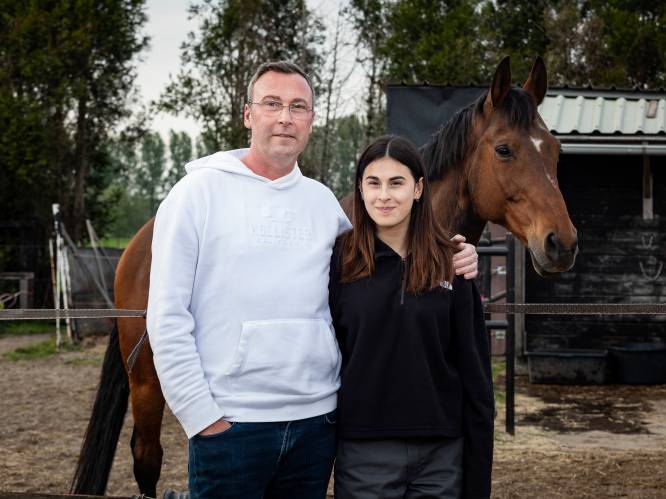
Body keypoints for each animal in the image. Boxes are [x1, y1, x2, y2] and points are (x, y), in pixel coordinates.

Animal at [68, 56, 576, 498]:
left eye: (555, 150)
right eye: (505, 149)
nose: (562, 243)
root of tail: (140, 241)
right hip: (148, 385)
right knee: (146, 457)